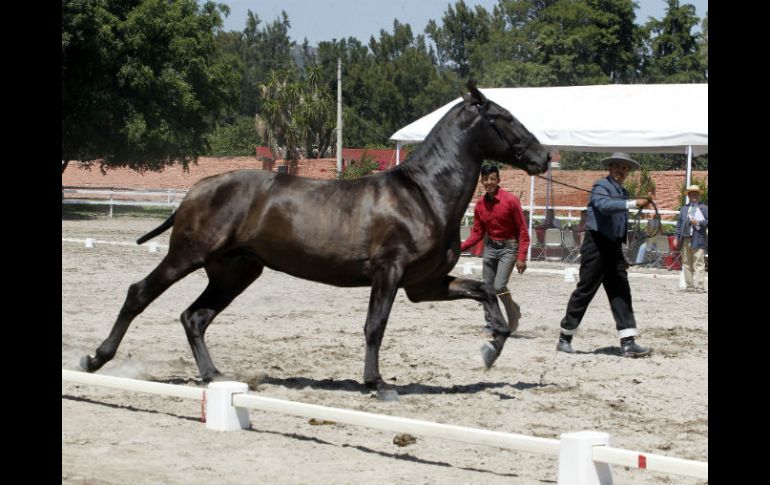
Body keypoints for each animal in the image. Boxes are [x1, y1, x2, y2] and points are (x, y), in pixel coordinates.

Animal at [80, 83, 551, 398]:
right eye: (503, 117)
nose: (543, 156)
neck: (424, 194)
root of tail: (195, 190)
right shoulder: (389, 273)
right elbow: (375, 326)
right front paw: (377, 383)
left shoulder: (424, 285)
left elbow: (485, 291)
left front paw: (490, 347)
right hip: (187, 256)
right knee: (139, 294)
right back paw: (95, 359)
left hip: (235, 272)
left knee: (195, 317)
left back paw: (215, 377)